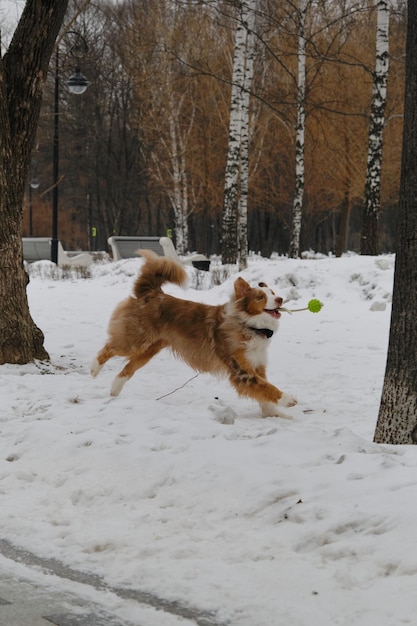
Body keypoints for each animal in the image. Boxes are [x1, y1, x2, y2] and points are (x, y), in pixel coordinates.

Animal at [92, 250, 296, 420]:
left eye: (273, 293)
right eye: (261, 297)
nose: (280, 299)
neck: (250, 325)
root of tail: (152, 293)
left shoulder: (256, 366)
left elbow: (264, 394)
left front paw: (274, 415)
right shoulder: (241, 371)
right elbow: (266, 388)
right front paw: (288, 399)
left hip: (149, 349)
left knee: (128, 368)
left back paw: (115, 389)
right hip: (136, 339)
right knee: (109, 348)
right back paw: (94, 369)